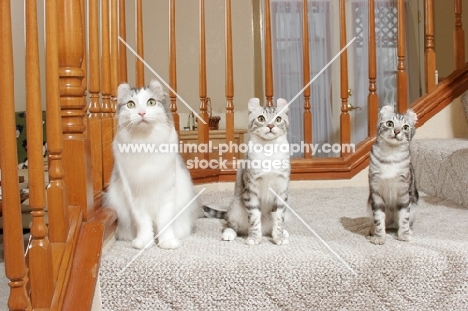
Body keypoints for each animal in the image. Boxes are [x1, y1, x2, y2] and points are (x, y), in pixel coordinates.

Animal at [104, 80, 201, 251]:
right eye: (130, 104)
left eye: (151, 102)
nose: (142, 113)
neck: (145, 144)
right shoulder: (135, 195)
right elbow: (143, 223)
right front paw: (144, 242)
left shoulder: (167, 191)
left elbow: (164, 221)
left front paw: (167, 242)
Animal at [221, 97, 290, 246]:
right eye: (261, 118)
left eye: (278, 119)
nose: (270, 126)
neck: (269, 150)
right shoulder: (250, 189)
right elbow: (254, 217)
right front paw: (254, 237)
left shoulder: (282, 189)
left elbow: (279, 218)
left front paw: (279, 237)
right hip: (235, 207)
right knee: (231, 224)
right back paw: (229, 233)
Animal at [368, 105, 418, 246]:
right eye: (390, 123)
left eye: (405, 127)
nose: (396, 131)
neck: (390, 155)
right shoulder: (376, 192)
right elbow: (379, 219)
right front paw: (379, 237)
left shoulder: (404, 193)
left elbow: (404, 218)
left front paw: (404, 235)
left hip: (414, 205)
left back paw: (408, 231)